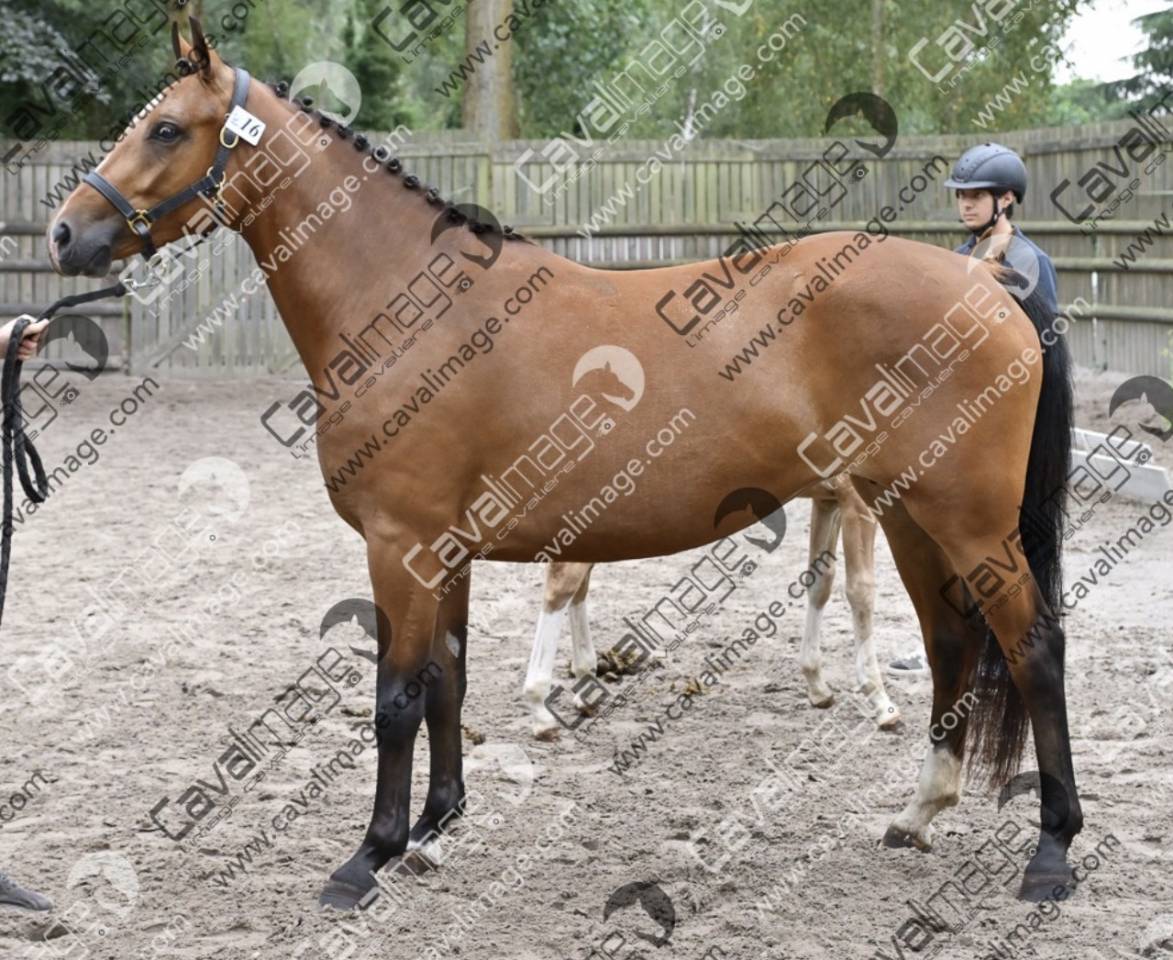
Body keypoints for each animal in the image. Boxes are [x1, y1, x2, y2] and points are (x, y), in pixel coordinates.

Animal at [525, 475, 903, 740]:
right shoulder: (857, 501)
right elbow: (861, 593)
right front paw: (881, 701)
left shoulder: (828, 499)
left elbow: (819, 584)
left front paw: (817, 684)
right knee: (563, 582)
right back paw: (540, 709)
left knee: (577, 585)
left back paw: (584, 684)